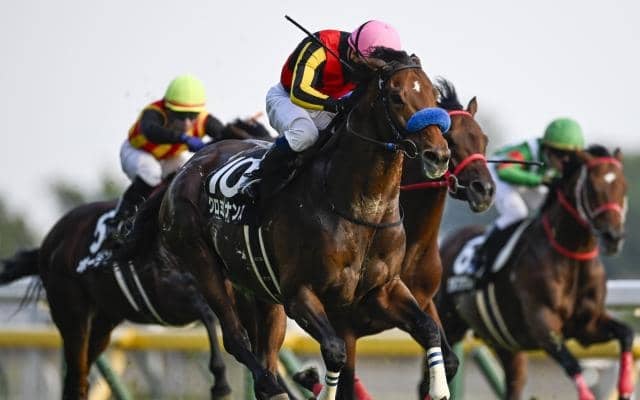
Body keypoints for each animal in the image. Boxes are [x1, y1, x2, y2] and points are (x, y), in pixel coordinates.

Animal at [0, 118, 273, 400]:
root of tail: (48, 242)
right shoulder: (173, 294)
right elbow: (209, 317)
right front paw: (221, 381)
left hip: (105, 319)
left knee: (79, 378)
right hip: (71, 313)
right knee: (76, 373)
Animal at [159, 47, 454, 400]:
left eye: (432, 94)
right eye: (396, 96)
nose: (438, 155)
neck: (362, 210)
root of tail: (190, 167)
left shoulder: (384, 290)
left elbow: (429, 329)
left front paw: (439, 389)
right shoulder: (301, 294)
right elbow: (336, 351)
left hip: (259, 290)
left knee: (265, 350)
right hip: (204, 264)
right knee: (235, 338)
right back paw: (270, 386)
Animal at [291, 79, 496, 399]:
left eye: (483, 139)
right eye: (450, 138)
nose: (484, 189)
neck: (412, 245)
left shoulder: (421, 302)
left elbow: (446, 360)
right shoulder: (346, 325)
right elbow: (346, 380)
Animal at [435, 145, 633, 400]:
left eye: (623, 187)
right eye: (593, 187)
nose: (613, 237)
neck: (571, 256)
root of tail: (447, 241)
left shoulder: (587, 326)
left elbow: (627, 333)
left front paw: (626, 388)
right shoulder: (542, 324)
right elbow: (572, 364)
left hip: (503, 342)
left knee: (514, 382)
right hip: (448, 324)